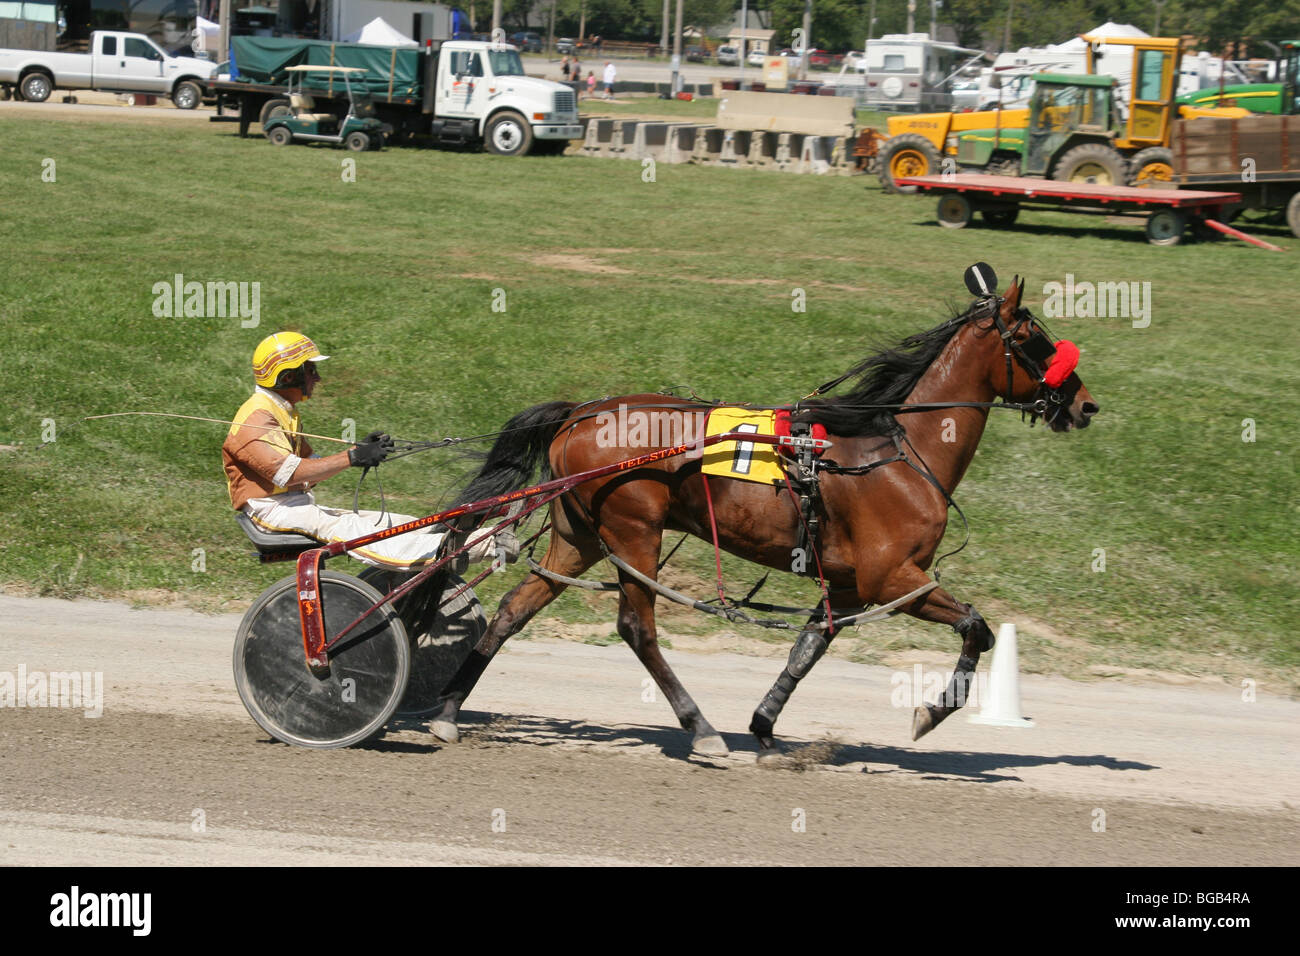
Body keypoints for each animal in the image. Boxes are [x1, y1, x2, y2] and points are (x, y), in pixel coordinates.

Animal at [430, 271, 1098, 759]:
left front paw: (765, 723)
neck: (900, 451)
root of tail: (581, 413)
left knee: (514, 610)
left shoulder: (851, 585)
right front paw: (930, 713)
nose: (1086, 405)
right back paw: (700, 728)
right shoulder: (894, 579)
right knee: (637, 629)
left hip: (581, 537)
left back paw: (446, 712)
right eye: (1034, 339)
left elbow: (808, 648)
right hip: (634, 533)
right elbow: (977, 627)